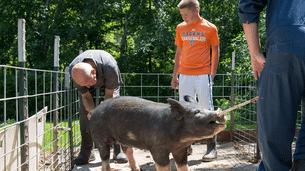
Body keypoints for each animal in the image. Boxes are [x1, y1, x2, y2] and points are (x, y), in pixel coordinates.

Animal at [89, 95, 227, 170]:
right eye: (197, 112)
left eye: (204, 108)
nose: (220, 113)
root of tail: (95, 110)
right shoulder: (157, 148)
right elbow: (163, 166)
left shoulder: (180, 149)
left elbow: (183, 166)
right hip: (99, 135)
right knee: (105, 157)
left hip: (124, 137)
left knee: (128, 151)